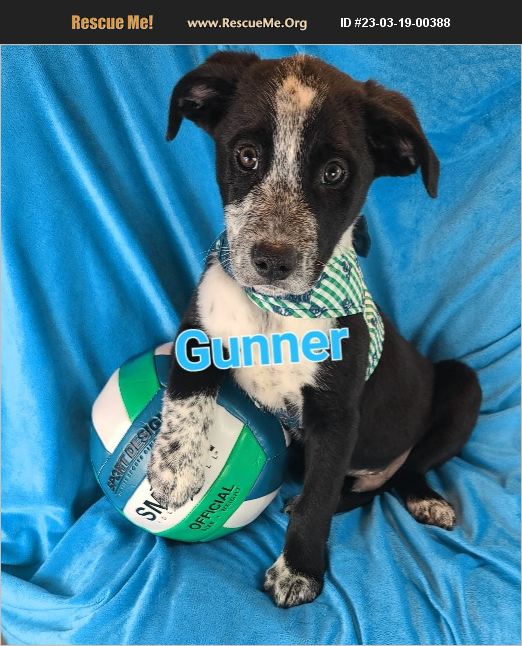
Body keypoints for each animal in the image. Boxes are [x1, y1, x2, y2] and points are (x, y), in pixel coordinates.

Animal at [147, 52, 482, 608]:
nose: (271, 260)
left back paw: (424, 499)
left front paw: (299, 571)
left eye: (334, 172)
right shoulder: (196, 333)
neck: (276, 311)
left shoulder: (336, 414)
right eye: (246, 156)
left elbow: (318, 499)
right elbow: (185, 395)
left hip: (461, 385)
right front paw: (174, 468)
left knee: (400, 473)